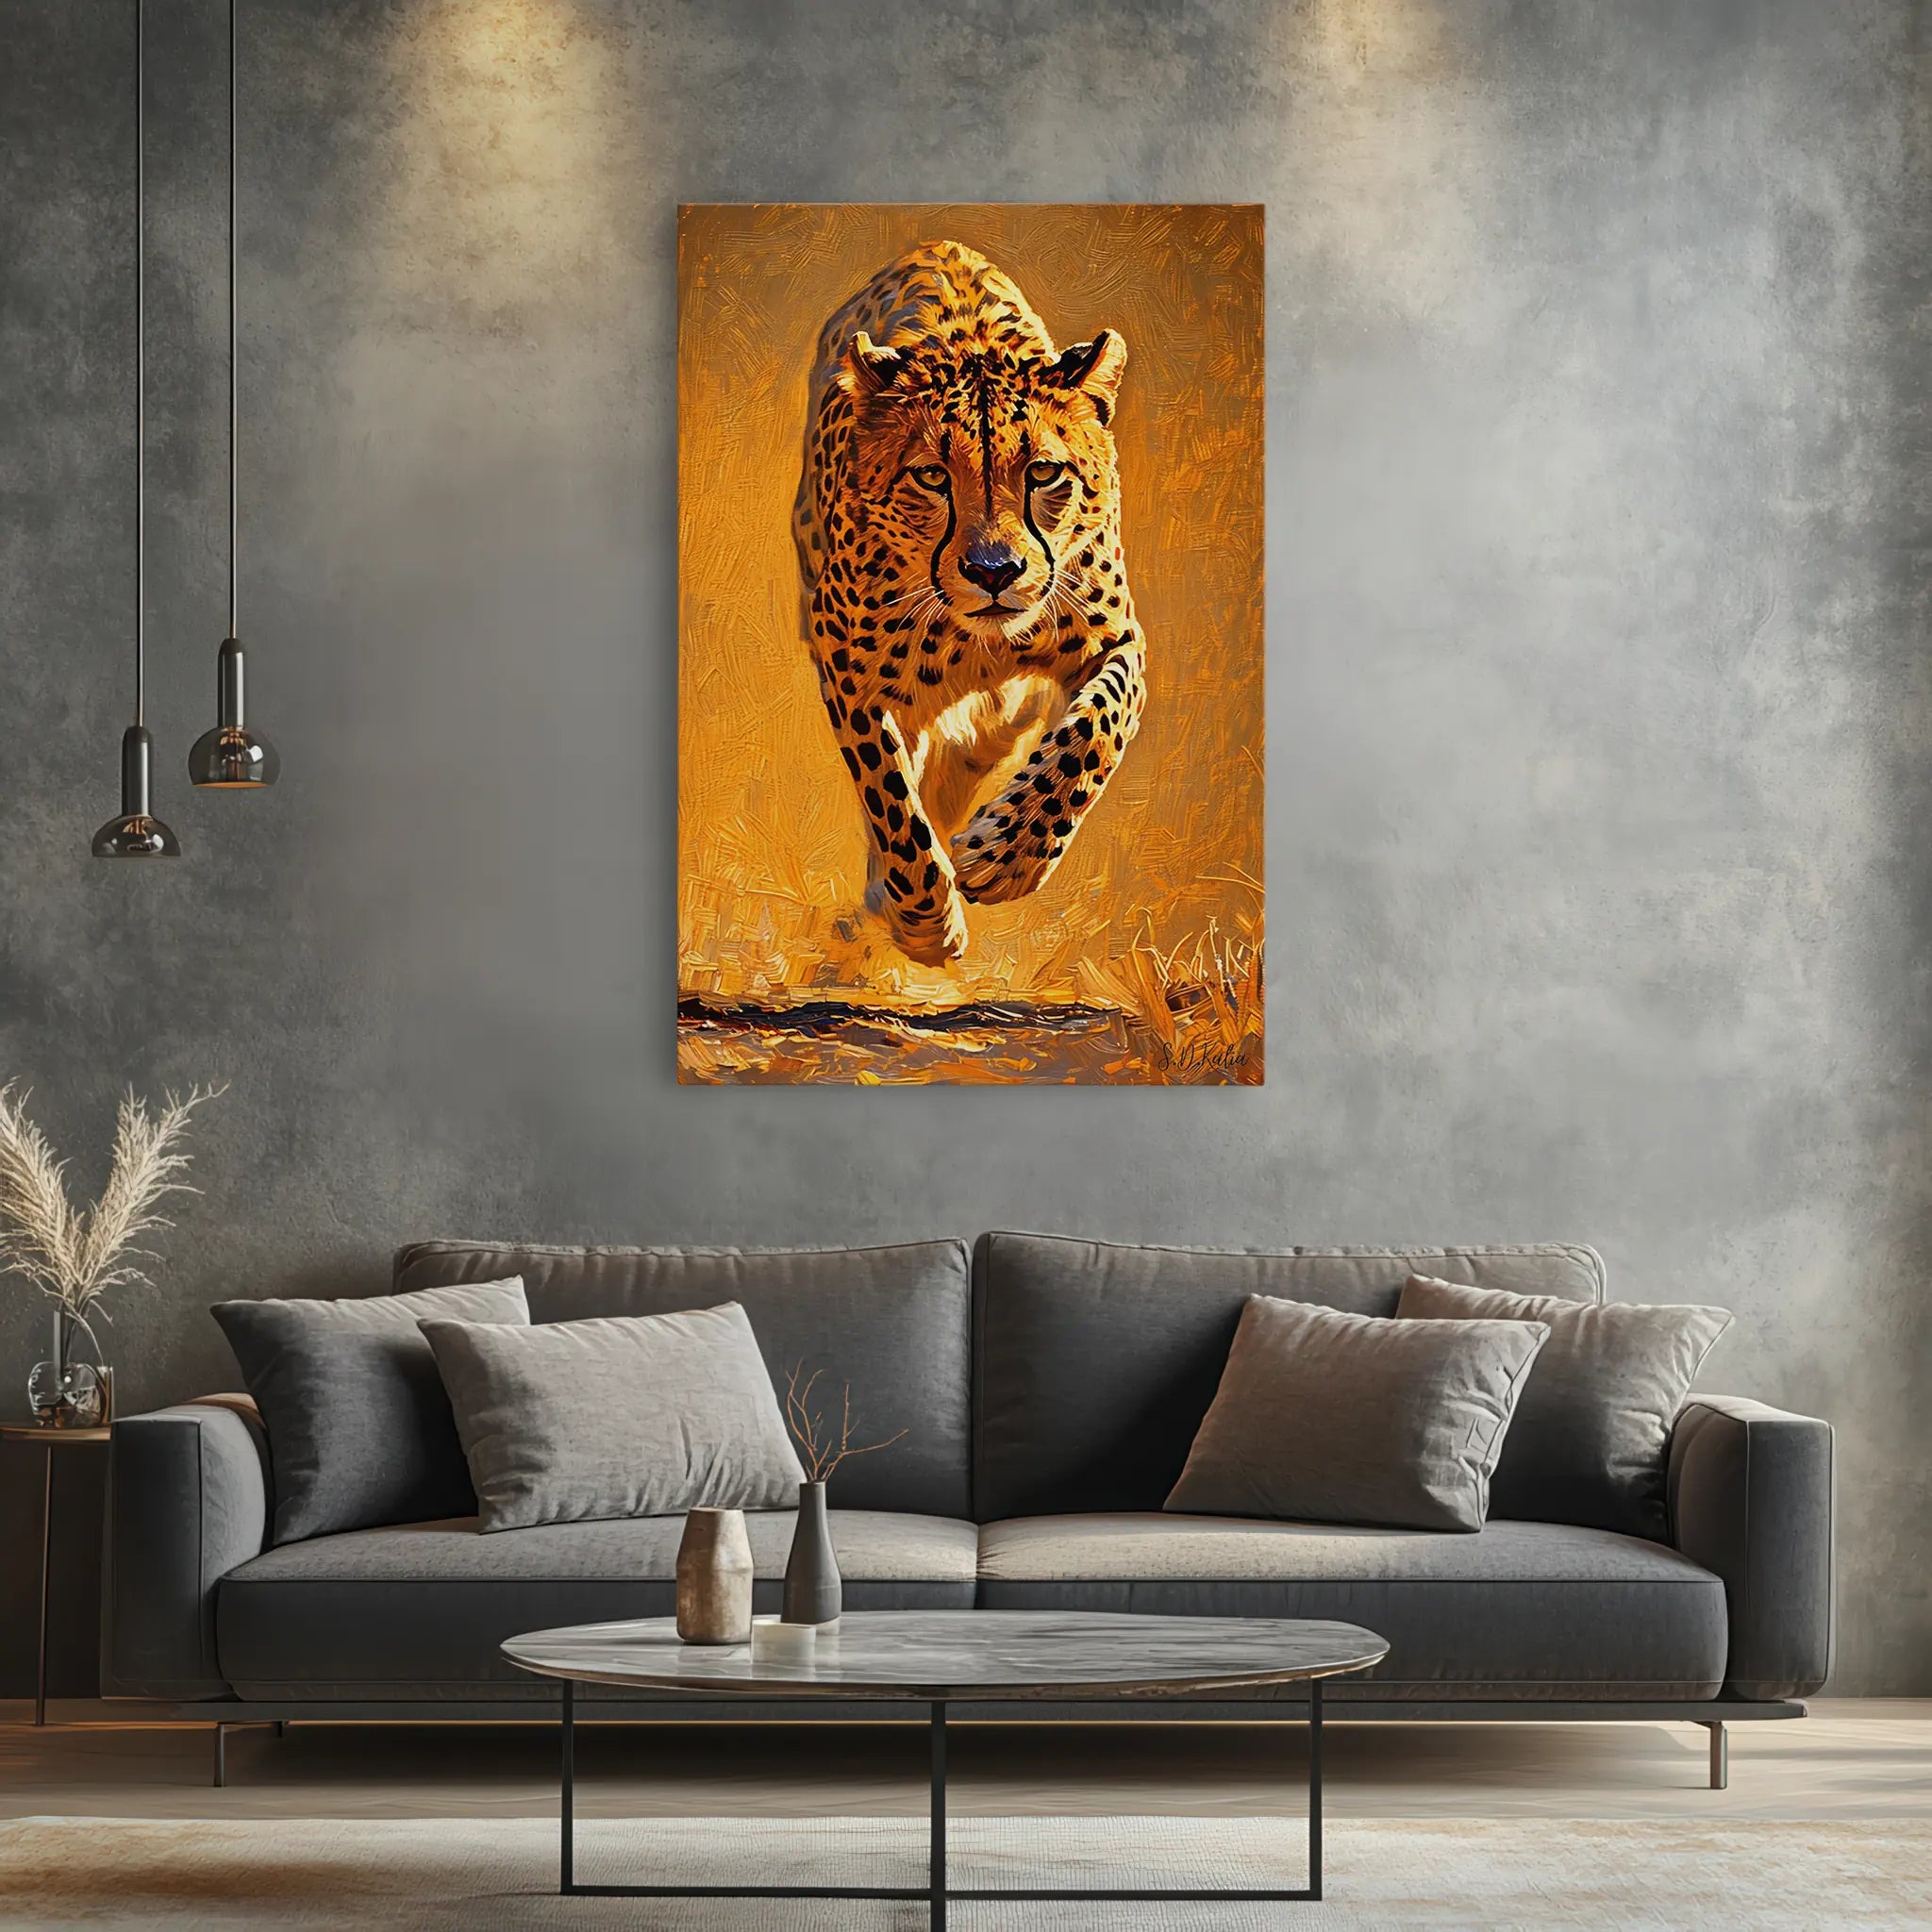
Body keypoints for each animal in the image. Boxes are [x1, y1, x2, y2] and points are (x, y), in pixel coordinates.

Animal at [792, 239, 1146, 967]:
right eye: (932, 475)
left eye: (1044, 472)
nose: (993, 571)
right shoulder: (847, 675)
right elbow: (891, 802)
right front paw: (926, 923)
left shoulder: (1117, 640)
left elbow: (1096, 732)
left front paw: (1004, 855)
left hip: (1000, 726)